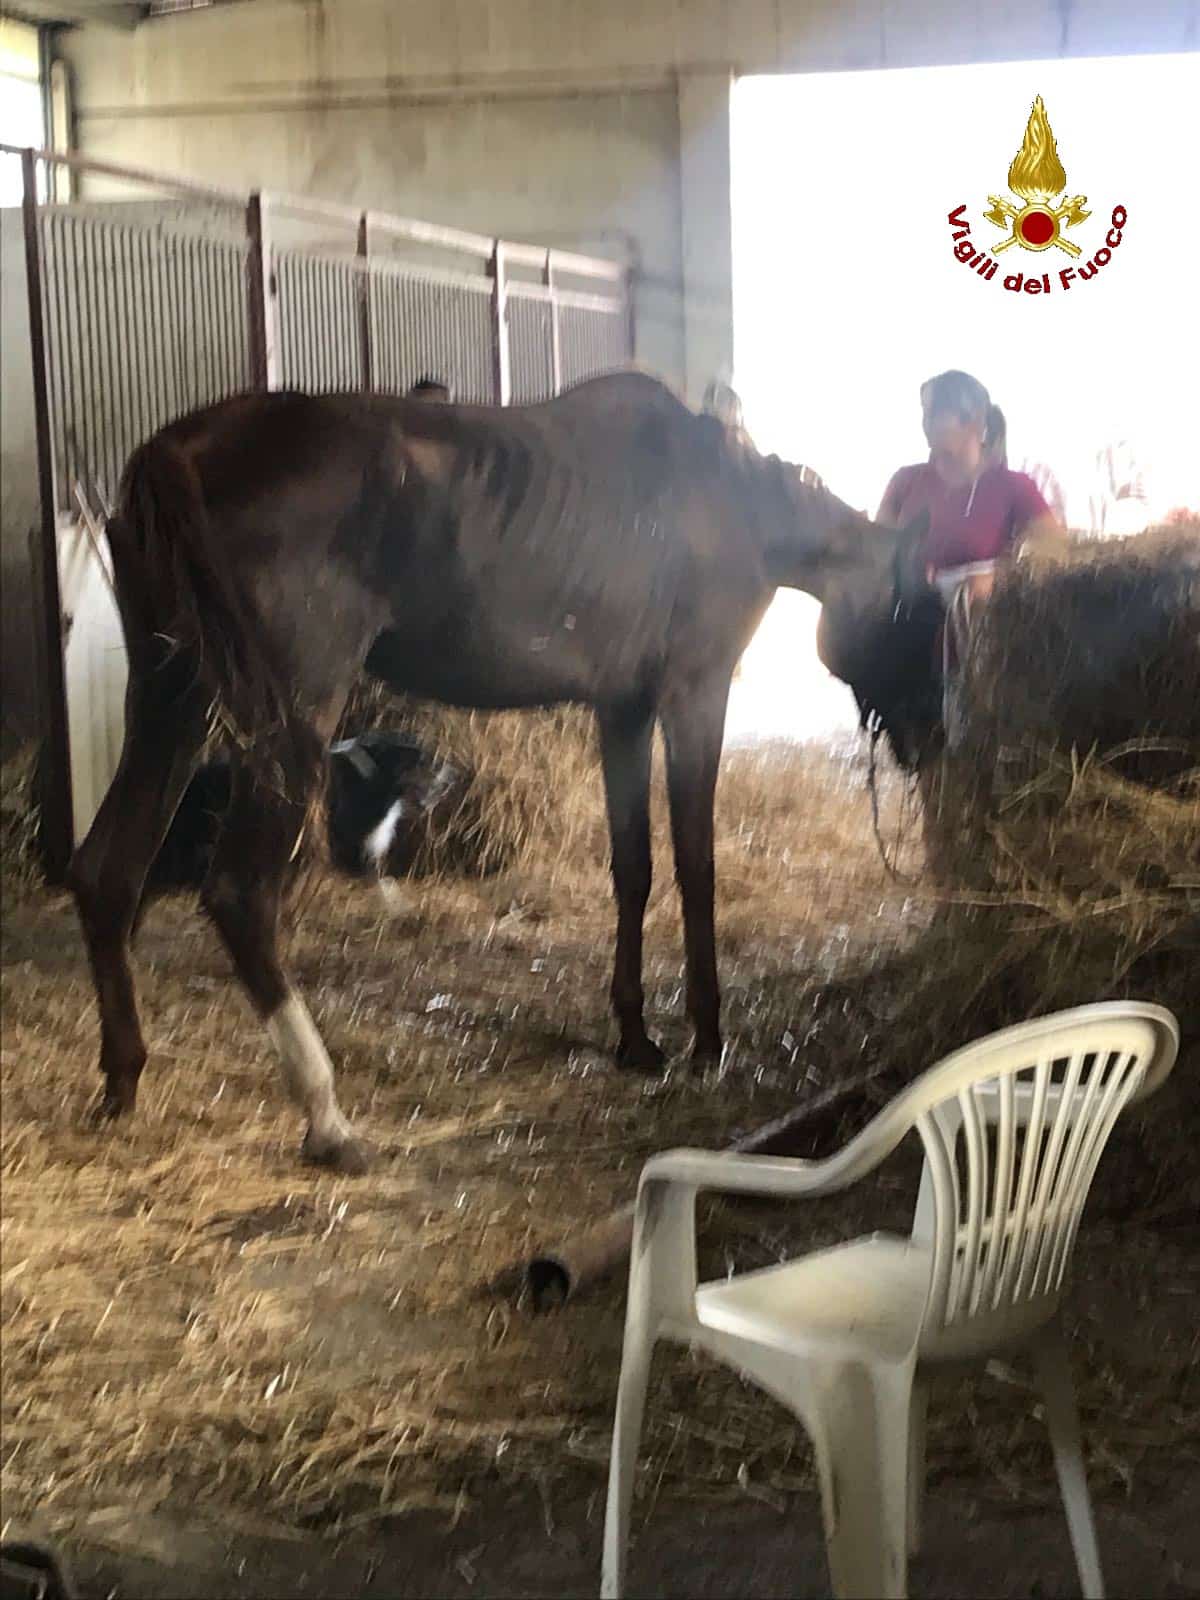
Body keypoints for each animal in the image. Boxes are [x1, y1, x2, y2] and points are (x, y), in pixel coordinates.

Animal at [70, 374, 928, 1177]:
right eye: (910, 609)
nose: (920, 742)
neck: (731, 503)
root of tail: (178, 448)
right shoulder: (693, 695)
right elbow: (696, 868)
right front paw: (707, 1041)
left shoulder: (621, 709)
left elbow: (634, 869)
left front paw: (636, 1038)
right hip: (287, 717)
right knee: (240, 893)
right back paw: (327, 1117)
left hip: (172, 697)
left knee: (107, 870)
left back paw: (123, 1080)